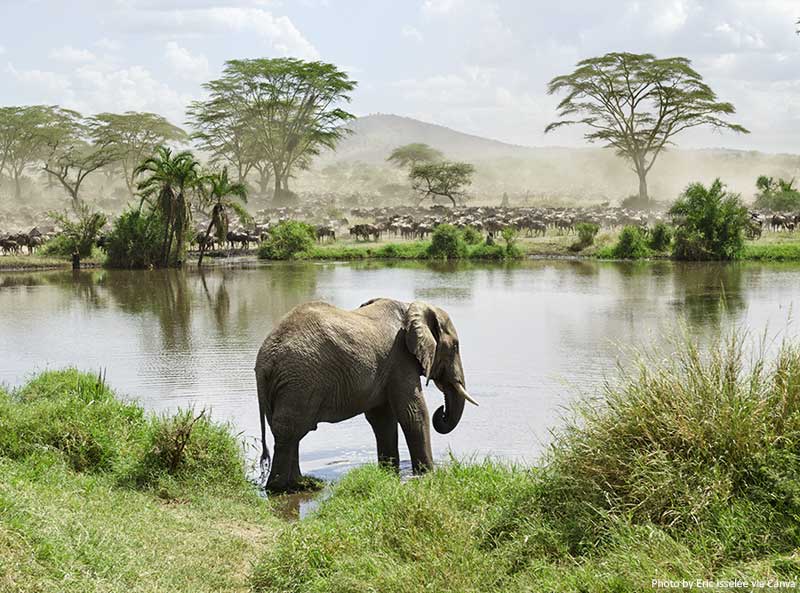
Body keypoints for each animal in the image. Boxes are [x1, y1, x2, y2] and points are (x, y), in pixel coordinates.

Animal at [255, 297, 478, 493]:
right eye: (455, 346)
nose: (442, 412)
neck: (412, 306)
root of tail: (264, 361)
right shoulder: (400, 358)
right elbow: (413, 413)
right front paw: (427, 475)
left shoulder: (387, 366)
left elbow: (382, 418)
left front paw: (389, 473)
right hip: (300, 380)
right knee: (290, 430)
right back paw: (282, 488)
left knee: (290, 432)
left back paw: (301, 484)